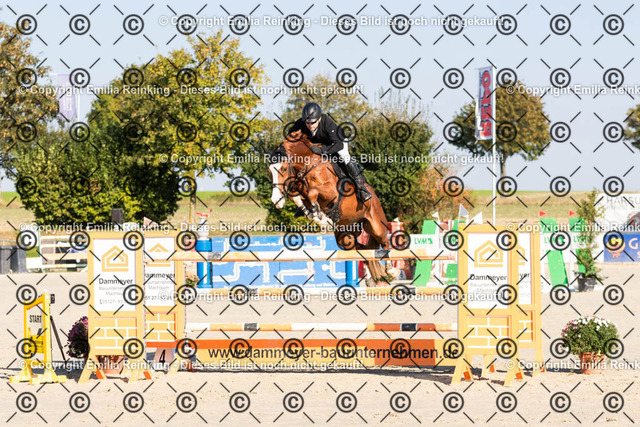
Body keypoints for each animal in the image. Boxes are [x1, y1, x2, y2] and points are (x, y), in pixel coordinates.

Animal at [266, 131, 397, 285]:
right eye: (269, 171)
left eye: (284, 168)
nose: (276, 200)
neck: (308, 164)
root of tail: (375, 197)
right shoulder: (298, 187)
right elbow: (298, 197)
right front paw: (316, 215)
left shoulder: (332, 192)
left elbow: (312, 192)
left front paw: (321, 218)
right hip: (345, 236)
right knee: (362, 249)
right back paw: (370, 279)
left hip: (375, 226)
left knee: (384, 243)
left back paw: (391, 271)